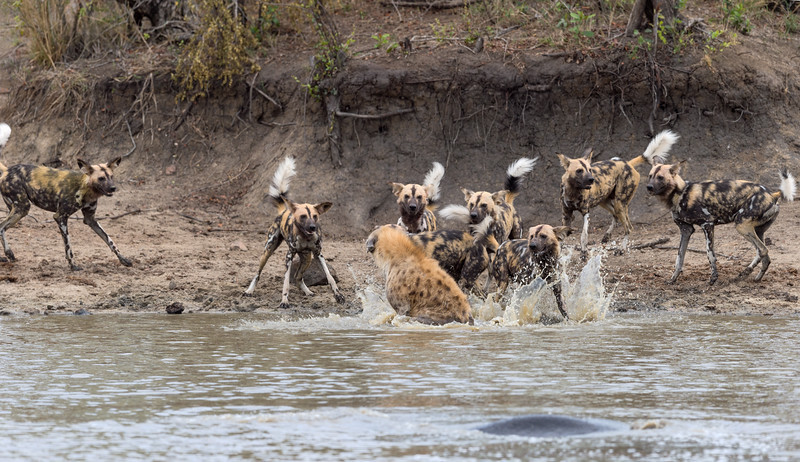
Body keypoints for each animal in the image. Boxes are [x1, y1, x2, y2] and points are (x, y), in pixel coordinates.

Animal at [0, 122, 131, 270]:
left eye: (111, 177)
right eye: (101, 178)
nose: (113, 188)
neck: (85, 188)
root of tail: (7, 170)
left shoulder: (90, 219)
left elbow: (110, 240)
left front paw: (123, 259)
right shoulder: (60, 217)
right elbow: (68, 246)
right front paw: (73, 265)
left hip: (16, 209)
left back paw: (7, 255)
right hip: (22, 208)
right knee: (1, 227)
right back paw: (8, 253)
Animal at [244, 155, 344, 306]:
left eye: (315, 216)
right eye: (303, 217)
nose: (312, 227)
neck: (305, 237)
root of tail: (284, 210)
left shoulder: (318, 255)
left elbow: (330, 277)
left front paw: (338, 295)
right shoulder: (289, 256)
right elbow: (285, 282)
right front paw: (284, 300)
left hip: (307, 258)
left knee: (297, 277)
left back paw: (308, 292)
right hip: (267, 251)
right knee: (257, 273)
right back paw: (250, 291)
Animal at [648, 159, 796, 286]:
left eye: (660, 177)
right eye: (650, 176)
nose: (649, 187)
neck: (681, 193)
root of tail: (772, 194)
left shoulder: (707, 224)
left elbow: (710, 254)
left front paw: (713, 278)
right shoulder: (686, 230)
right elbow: (679, 258)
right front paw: (673, 279)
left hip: (741, 225)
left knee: (763, 250)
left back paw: (744, 273)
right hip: (757, 230)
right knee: (765, 256)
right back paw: (755, 278)